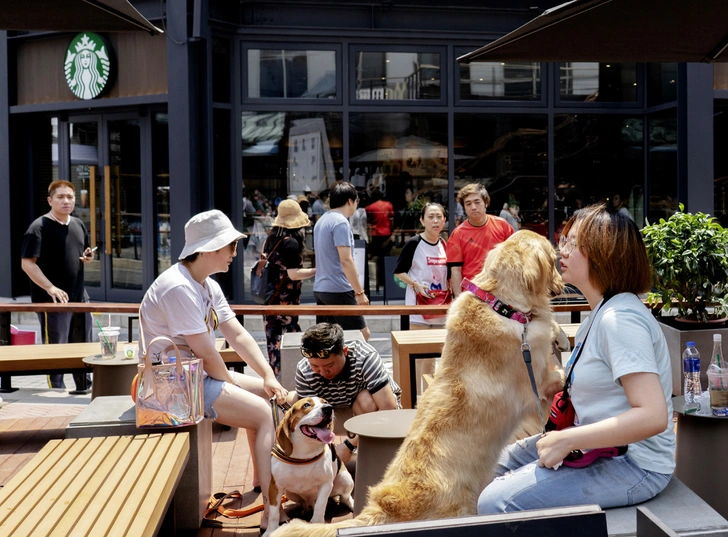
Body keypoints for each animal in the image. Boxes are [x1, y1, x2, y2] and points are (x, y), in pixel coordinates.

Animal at [264, 396, 356, 532]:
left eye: (326, 402)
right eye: (306, 405)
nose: (329, 408)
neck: (304, 453)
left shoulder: (326, 484)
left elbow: (320, 506)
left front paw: (317, 524)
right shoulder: (275, 487)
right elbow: (274, 513)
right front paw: (271, 531)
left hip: (345, 480)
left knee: (344, 497)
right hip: (291, 494)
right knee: (306, 503)